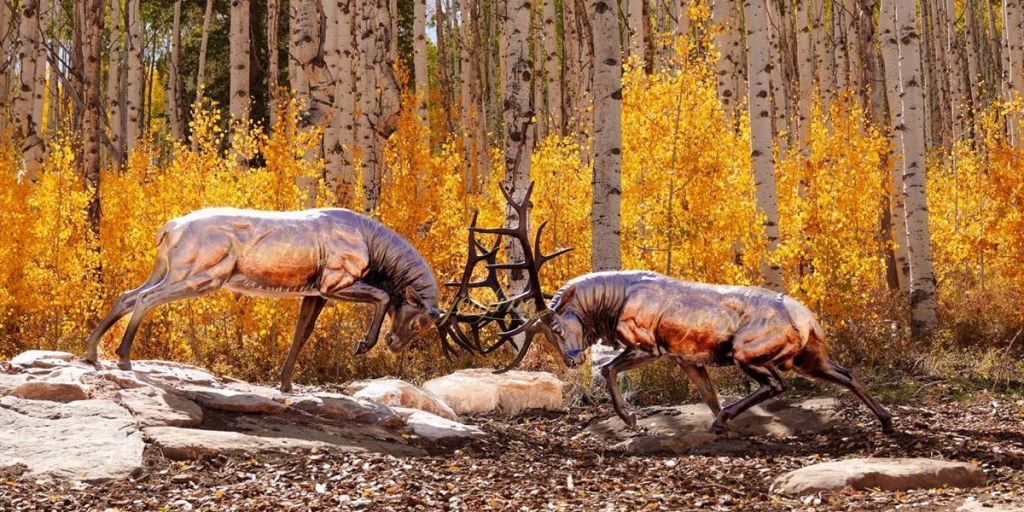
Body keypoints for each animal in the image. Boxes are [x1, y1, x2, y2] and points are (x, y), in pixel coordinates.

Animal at [84, 207, 445, 392]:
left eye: (427, 324)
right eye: (418, 319)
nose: (395, 343)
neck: (376, 251)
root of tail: (168, 229)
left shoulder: (314, 292)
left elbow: (301, 334)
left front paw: (285, 384)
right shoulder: (334, 283)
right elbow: (382, 295)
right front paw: (364, 344)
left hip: (167, 270)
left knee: (127, 295)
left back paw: (92, 352)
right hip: (200, 275)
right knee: (144, 298)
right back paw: (123, 357)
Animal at [460, 183, 895, 435]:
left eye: (558, 327)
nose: (570, 358)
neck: (611, 305)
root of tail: (807, 320)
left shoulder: (650, 345)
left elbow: (609, 369)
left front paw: (632, 419)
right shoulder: (688, 357)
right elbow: (707, 394)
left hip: (750, 352)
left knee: (777, 384)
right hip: (809, 355)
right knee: (845, 372)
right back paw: (887, 422)